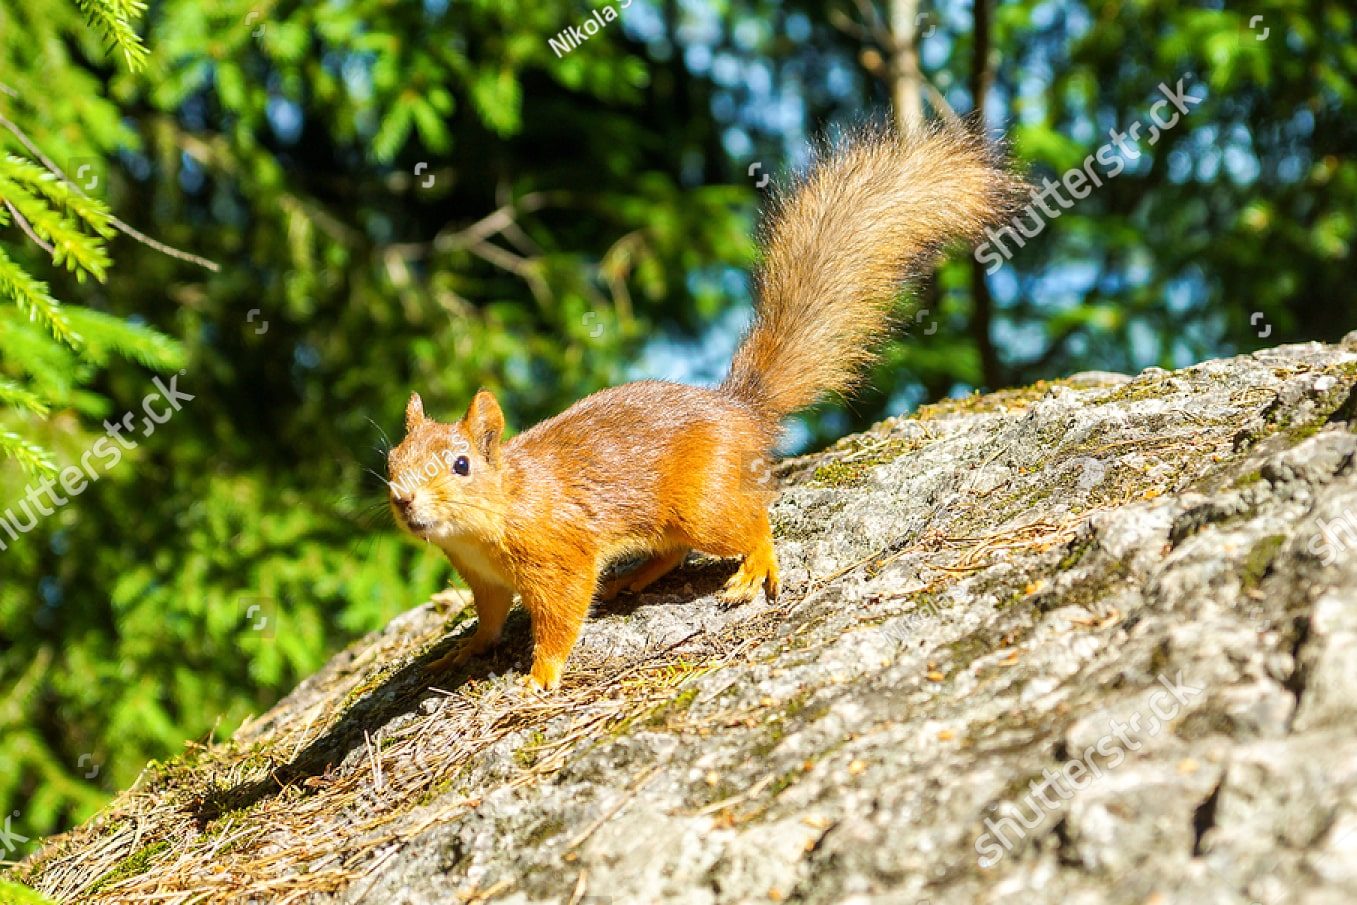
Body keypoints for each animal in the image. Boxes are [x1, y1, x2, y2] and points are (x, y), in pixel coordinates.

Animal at [387, 124, 1021, 690]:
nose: (403, 500)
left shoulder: (559, 557)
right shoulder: (486, 581)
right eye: (392, 461)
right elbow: (490, 620)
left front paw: (540, 675)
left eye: (462, 464)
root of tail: (741, 411)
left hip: (704, 503)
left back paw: (754, 566)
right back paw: (636, 577)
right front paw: (464, 652)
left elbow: (562, 618)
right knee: (672, 551)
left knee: (751, 521)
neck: (496, 512)